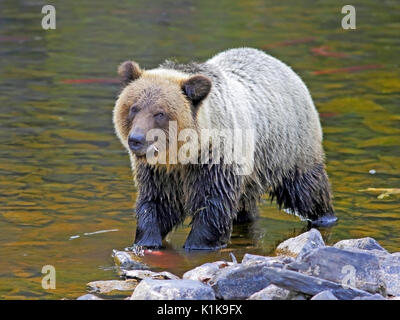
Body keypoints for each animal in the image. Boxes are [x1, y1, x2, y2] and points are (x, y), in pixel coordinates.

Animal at [112, 48, 334, 251]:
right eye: (133, 108)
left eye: (160, 113)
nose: (136, 139)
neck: (182, 156)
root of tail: (283, 66)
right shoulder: (158, 173)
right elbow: (156, 203)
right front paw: (146, 241)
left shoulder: (216, 160)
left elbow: (213, 205)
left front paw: (197, 244)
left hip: (289, 147)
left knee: (306, 189)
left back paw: (324, 215)